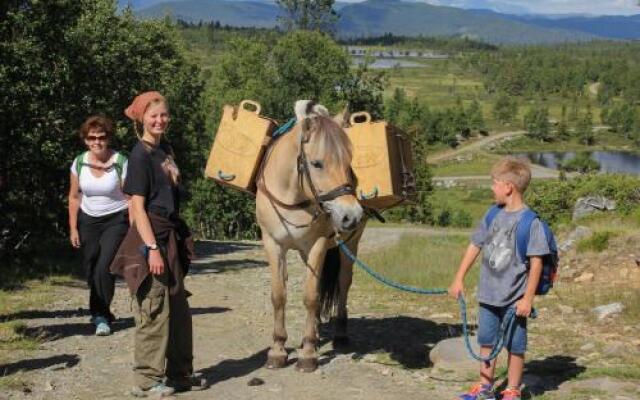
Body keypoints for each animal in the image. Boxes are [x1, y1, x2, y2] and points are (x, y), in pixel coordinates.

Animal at [255, 100, 364, 372]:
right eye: (317, 164)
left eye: (349, 163)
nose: (352, 216)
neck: (293, 197)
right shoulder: (273, 244)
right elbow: (279, 296)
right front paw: (278, 350)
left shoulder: (317, 245)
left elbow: (311, 297)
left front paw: (308, 354)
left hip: (351, 246)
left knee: (343, 283)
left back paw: (339, 334)